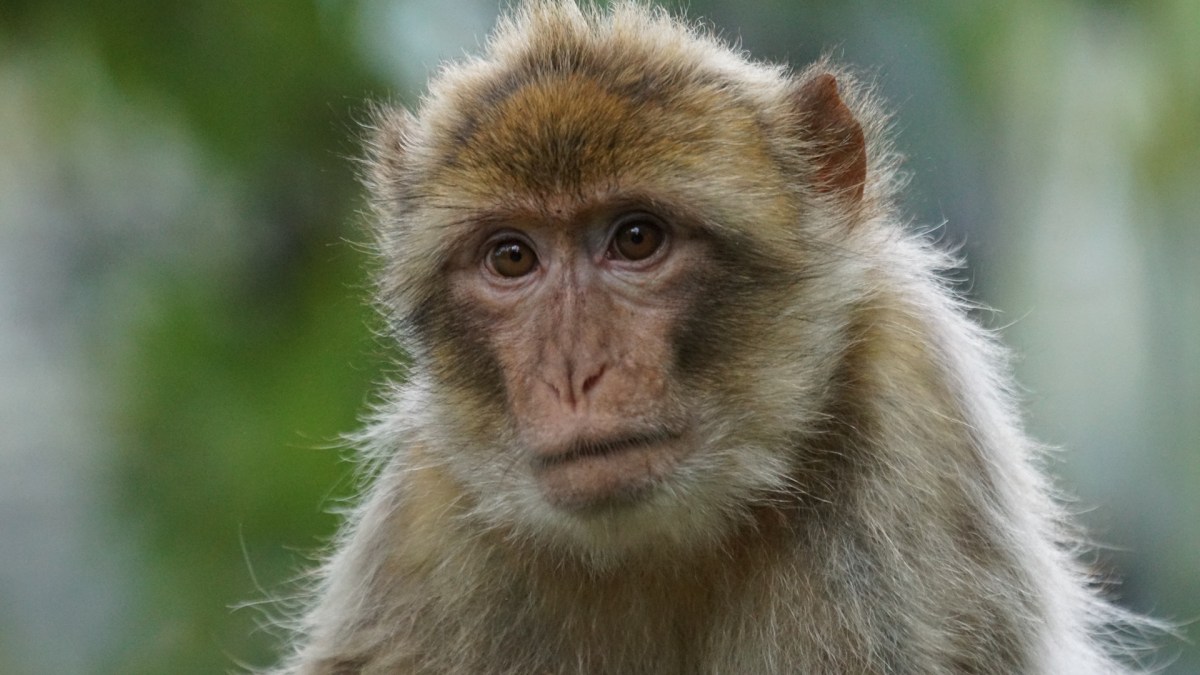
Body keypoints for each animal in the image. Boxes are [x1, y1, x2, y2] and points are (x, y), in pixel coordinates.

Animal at [269, 2, 1153, 673]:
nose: (574, 372)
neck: (675, 543)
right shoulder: (426, 522)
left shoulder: (917, 419)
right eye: (512, 256)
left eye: (636, 239)